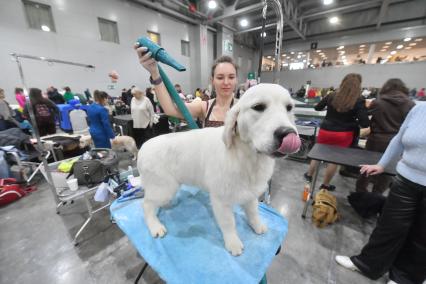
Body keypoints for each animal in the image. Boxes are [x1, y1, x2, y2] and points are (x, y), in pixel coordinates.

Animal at [136, 83, 300, 256]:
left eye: (289, 107)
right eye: (258, 107)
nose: (287, 133)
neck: (247, 156)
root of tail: (143, 148)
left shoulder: (250, 194)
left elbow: (253, 212)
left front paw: (257, 225)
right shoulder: (221, 200)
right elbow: (229, 223)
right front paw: (233, 243)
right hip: (163, 188)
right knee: (146, 205)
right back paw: (155, 226)